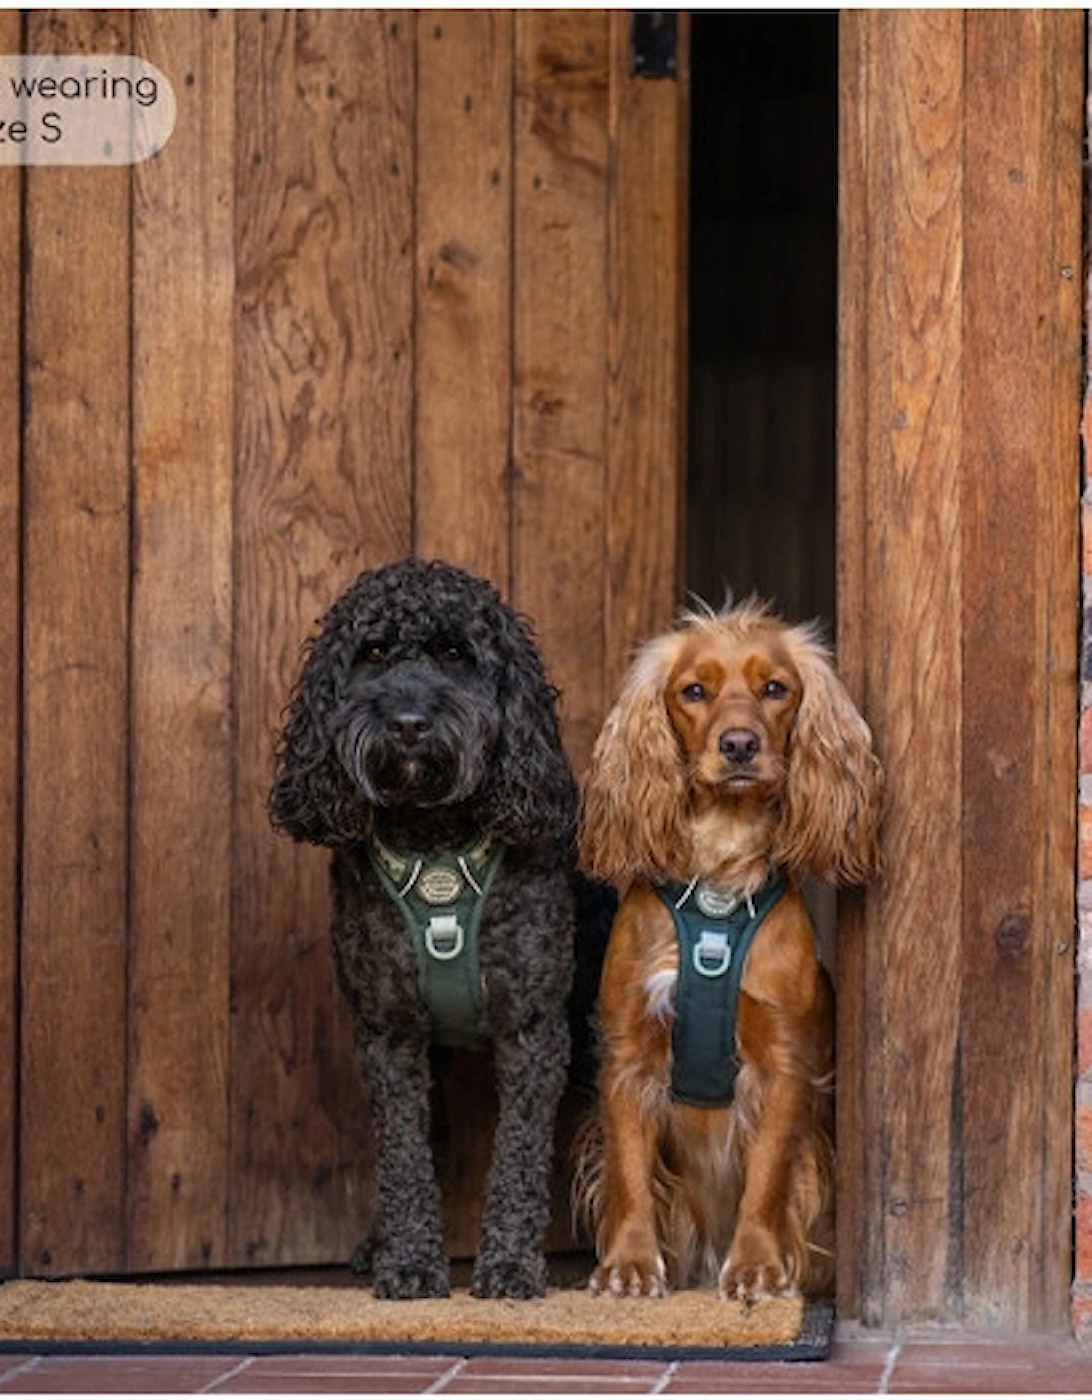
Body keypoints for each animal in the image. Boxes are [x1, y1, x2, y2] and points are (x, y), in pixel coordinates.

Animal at [268, 557, 576, 1299]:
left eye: (456, 654)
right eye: (374, 653)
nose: (408, 723)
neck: (435, 841)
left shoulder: (534, 1029)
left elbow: (520, 1153)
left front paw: (510, 1266)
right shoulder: (389, 1033)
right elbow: (403, 1154)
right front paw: (408, 1262)